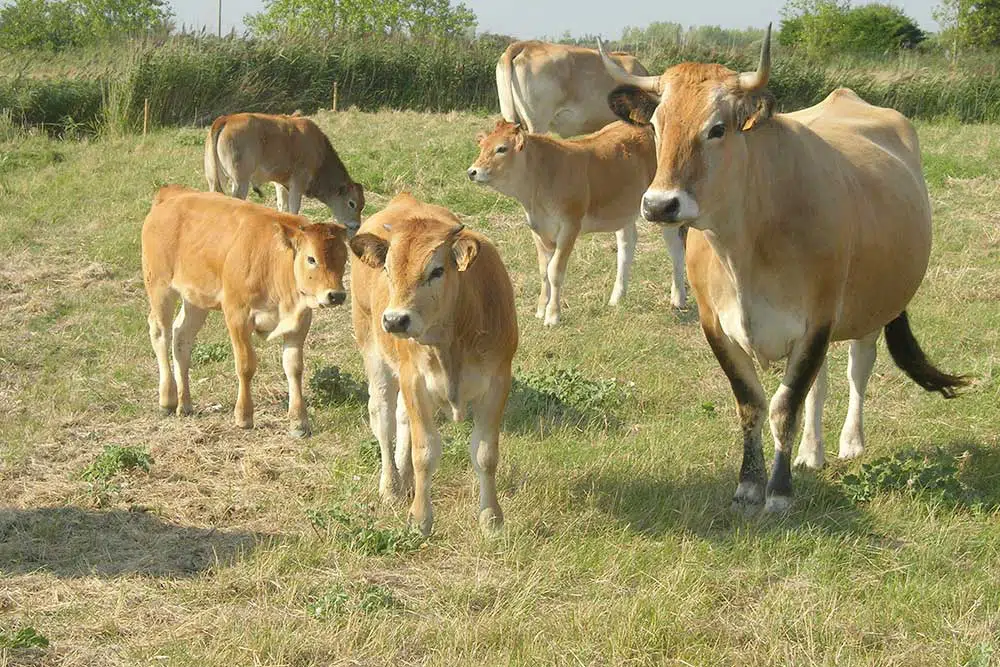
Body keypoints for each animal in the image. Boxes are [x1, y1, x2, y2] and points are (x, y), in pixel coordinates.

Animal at [141, 185, 349, 438]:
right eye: (311, 259)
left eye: (344, 258)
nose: (336, 295)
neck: (274, 262)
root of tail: (173, 194)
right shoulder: (237, 316)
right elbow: (246, 365)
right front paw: (244, 416)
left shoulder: (300, 322)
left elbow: (294, 368)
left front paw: (299, 422)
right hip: (159, 287)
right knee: (160, 333)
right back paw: (167, 399)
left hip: (195, 299)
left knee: (181, 337)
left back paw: (186, 403)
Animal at [204, 112, 365, 233]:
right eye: (352, 203)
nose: (357, 226)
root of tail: (227, 119)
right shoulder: (298, 183)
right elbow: (294, 209)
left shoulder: (281, 184)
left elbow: (282, 206)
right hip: (240, 182)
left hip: (216, 179)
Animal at [349, 193, 518, 536]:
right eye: (388, 270)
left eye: (437, 271)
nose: (395, 320)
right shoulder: (415, 381)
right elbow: (424, 452)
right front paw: (420, 519)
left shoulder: (498, 382)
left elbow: (486, 454)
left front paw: (491, 519)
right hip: (373, 351)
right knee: (383, 417)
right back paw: (391, 485)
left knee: (401, 419)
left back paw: (404, 479)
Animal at [467, 119, 687, 326]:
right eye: (483, 145)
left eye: (502, 148)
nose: (472, 171)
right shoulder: (537, 229)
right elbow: (543, 271)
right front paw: (540, 309)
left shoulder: (570, 226)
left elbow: (554, 271)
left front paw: (552, 315)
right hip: (625, 208)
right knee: (627, 245)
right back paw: (617, 297)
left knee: (676, 249)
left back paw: (678, 298)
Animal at [598, 25, 967, 513]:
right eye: (657, 127)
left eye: (717, 129)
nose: (660, 205)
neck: (745, 249)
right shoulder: (715, 324)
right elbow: (753, 403)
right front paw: (749, 484)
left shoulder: (817, 321)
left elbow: (784, 405)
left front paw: (778, 490)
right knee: (821, 384)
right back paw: (812, 451)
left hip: (870, 307)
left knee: (858, 367)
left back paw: (851, 442)